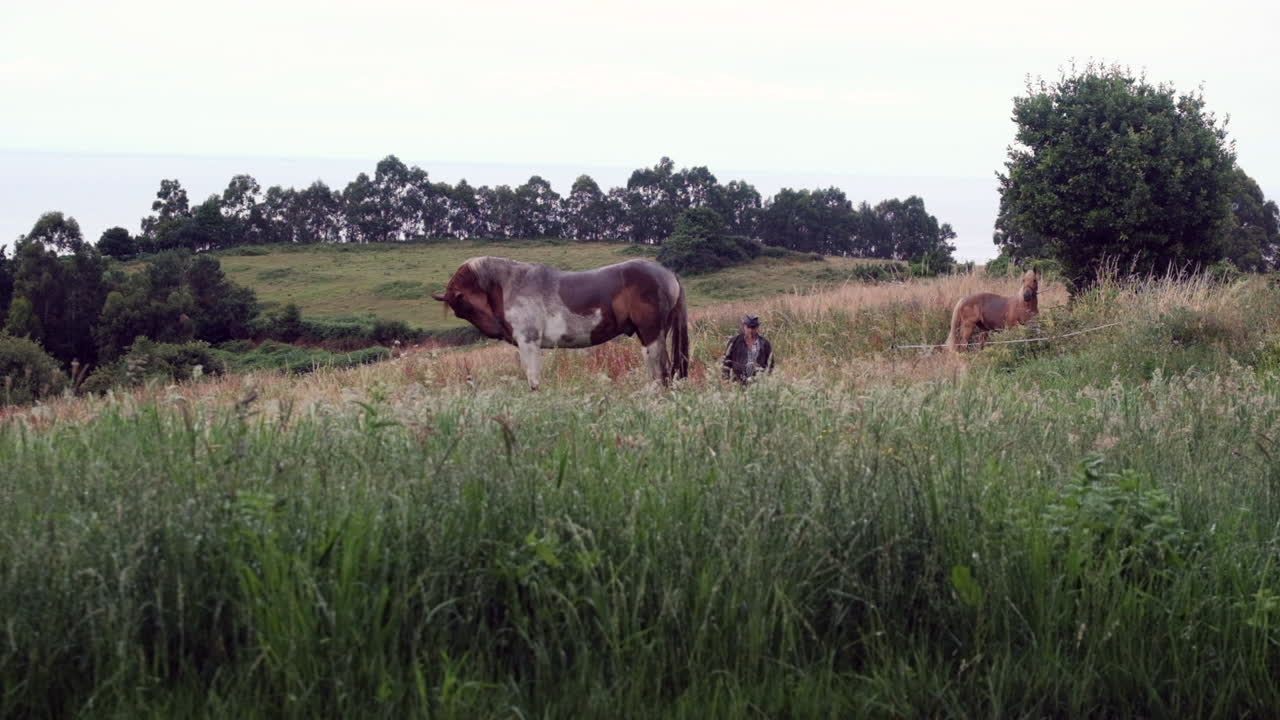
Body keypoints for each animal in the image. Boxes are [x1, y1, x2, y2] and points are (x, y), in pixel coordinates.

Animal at [431, 257, 690, 390]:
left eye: (464, 307)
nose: (496, 331)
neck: (513, 285)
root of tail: (668, 273)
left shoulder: (529, 343)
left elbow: (533, 380)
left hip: (651, 335)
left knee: (662, 372)